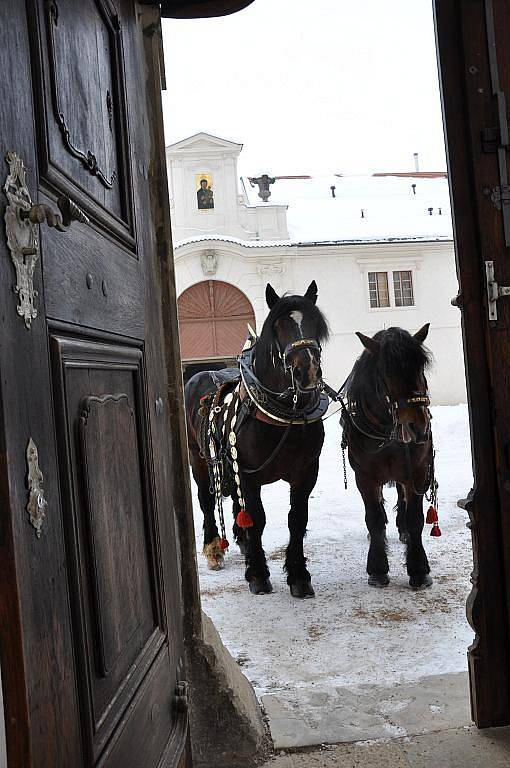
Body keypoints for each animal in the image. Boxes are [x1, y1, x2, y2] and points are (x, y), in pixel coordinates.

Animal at [185, 284, 328, 600]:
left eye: (315, 322)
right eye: (278, 326)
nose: (307, 371)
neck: (284, 414)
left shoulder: (306, 472)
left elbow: (297, 519)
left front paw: (299, 577)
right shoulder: (249, 474)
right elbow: (258, 519)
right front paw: (259, 574)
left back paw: (242, 540)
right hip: (198, 460)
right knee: (206, 501)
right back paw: (214, 548)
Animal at [340, 322, 436, 588]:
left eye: (420, 367)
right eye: (387, 372)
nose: (418, 427)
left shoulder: (417, 471)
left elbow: (415, 518)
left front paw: (418, 568)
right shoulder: (365, 477)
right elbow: (373, 517)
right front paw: (377, 568)